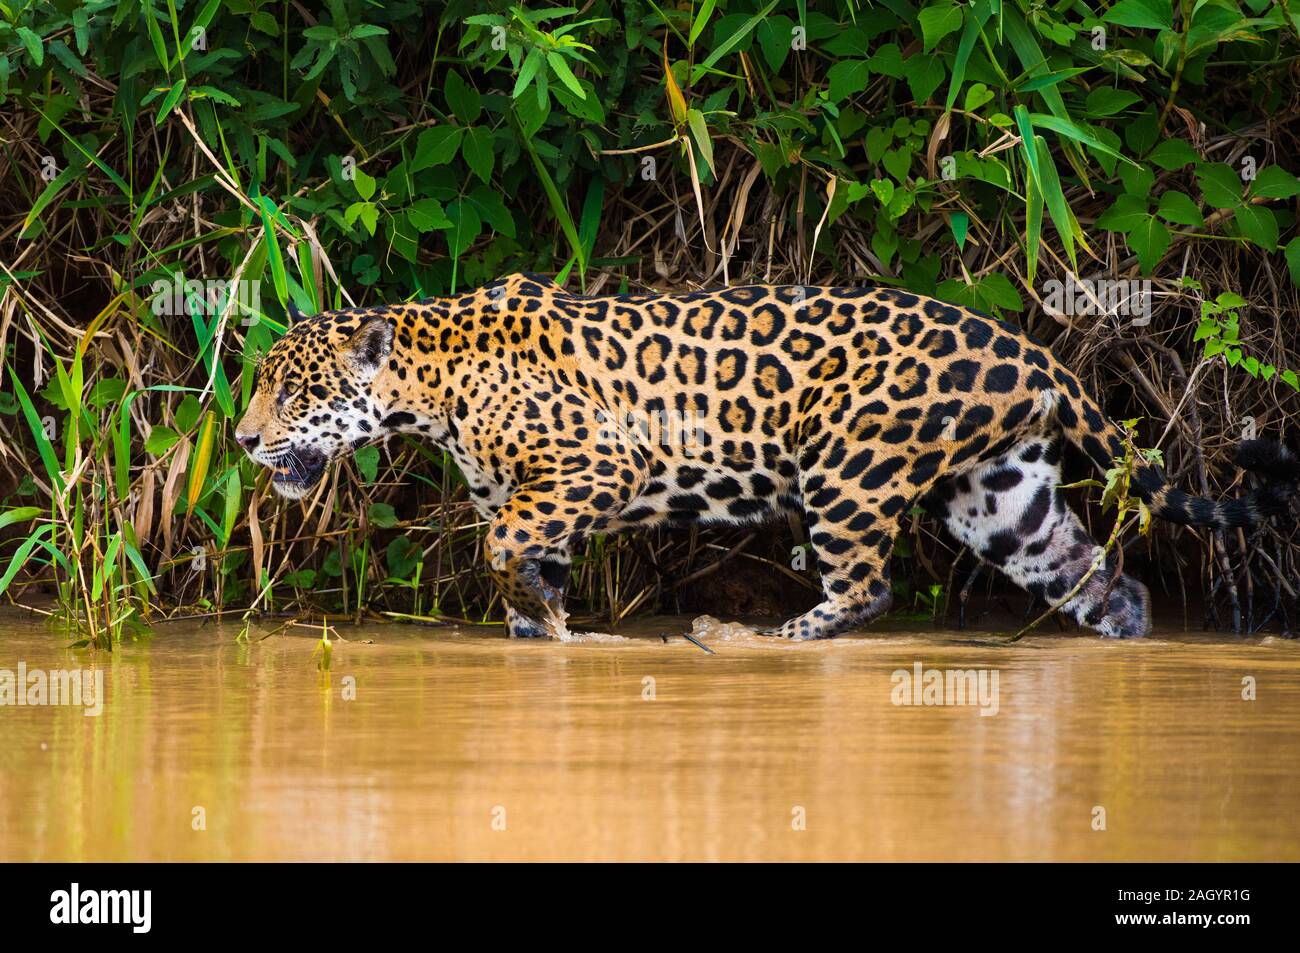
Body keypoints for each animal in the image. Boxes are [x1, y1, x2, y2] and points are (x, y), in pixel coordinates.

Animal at [235, 273, 1298, 640]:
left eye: (292, 391)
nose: (243, 438)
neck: (430, 383)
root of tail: (1031, 349)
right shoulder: (539, 496)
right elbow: (525, 559)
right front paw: (541, 625)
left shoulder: (594, 469)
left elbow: (500, 545)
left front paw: (538, 612)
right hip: (999, 494)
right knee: (1098, 576)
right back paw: (1125, 637)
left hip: (848, 466)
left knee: (870, 585)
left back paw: (777, 637)